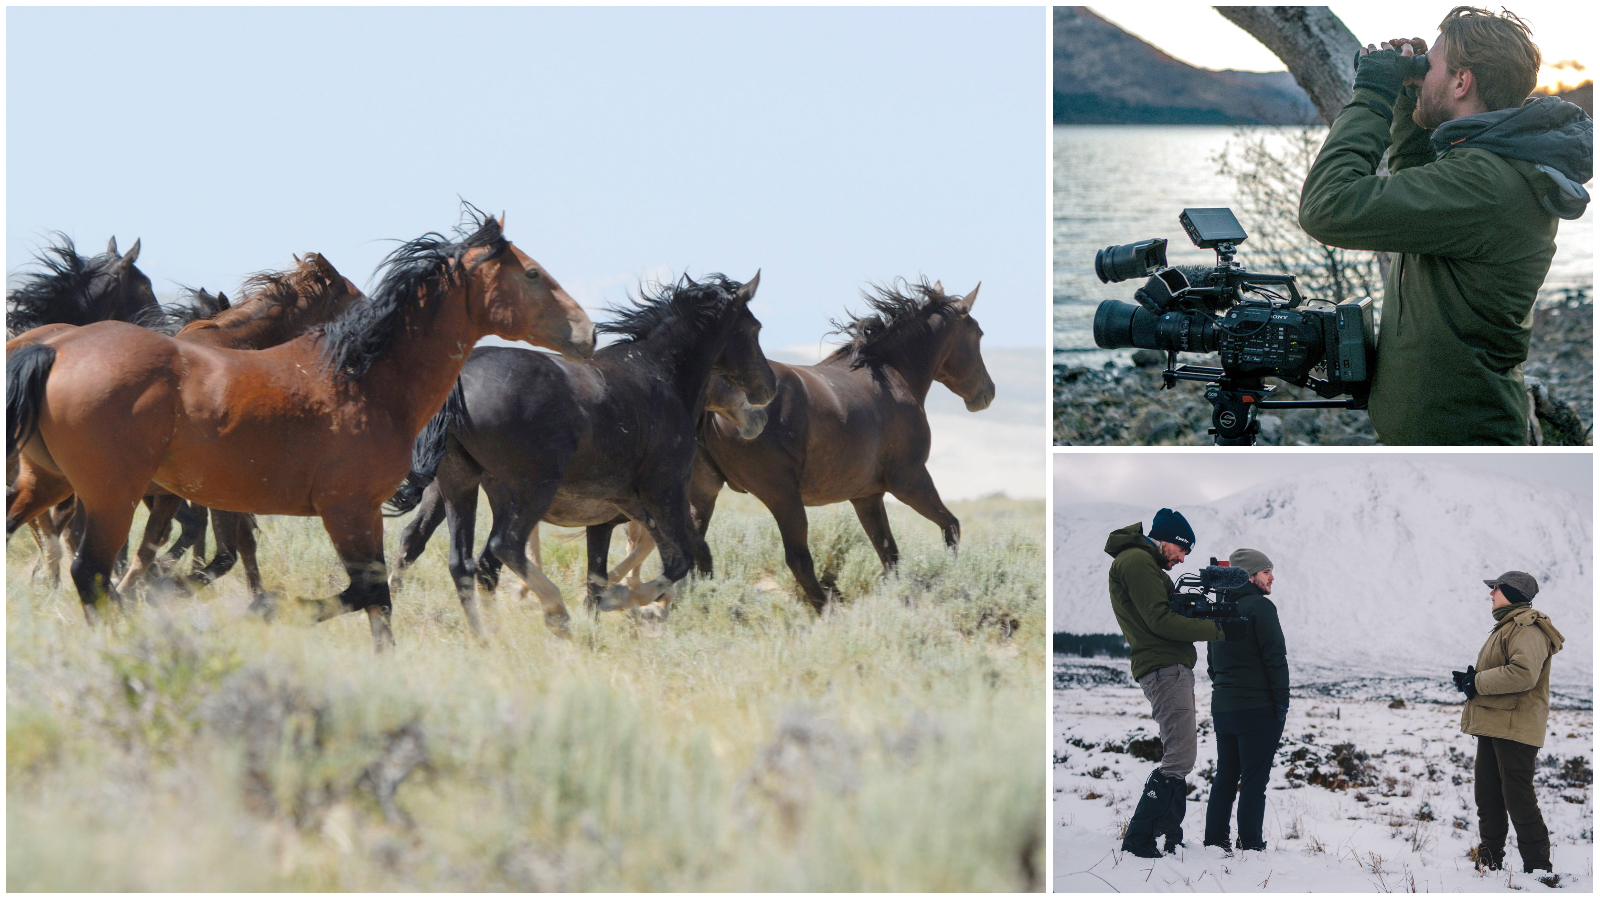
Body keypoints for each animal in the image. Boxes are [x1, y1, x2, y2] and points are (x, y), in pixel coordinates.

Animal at [6, 207, 594, 651]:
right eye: (533, 274)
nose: (587, 332)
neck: (364, 379)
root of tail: (53, 349)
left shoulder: (347, 513)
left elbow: (368, 597)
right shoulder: (347, 509)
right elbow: (365, 593)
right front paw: (265, 609)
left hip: (52, 482)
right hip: (112, 494)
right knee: (89, 572)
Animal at [384, 273, 775, 638]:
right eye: (754, 327)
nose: (767, 392)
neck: (660, 376)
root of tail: (459, 383)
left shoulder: (629, 508)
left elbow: (613, 572)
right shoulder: (665, 493)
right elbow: (676, 562)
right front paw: (621, 600)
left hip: (461, 485)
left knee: (462, 562)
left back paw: (486, 636)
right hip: (531, 488)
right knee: (502, 547)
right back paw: (554, 612)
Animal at [690, 278, 993, 611]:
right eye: (978, 333)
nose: (988, 392)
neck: (891, 375)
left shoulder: (867, 497)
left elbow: (889, 554)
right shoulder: (910, 479)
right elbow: (951, 527)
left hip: (705, 490)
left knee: (696, 551)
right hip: (783, 496)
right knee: (797, 559)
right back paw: (829, 609)